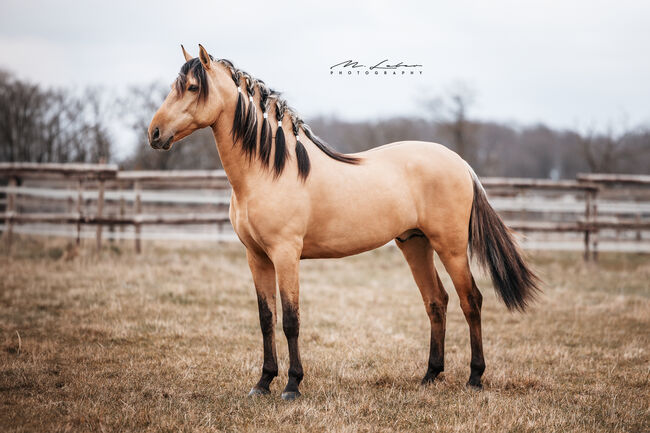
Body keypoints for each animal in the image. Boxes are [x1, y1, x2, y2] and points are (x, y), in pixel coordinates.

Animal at [147, 44, 536, 402]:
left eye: (193, 87)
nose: (154, 133)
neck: (268, 169)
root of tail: (461, 163)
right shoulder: (256, 257)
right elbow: (266, 319)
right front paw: (262, 383)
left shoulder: (286, 255)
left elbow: (291, 320)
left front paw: (291, 386)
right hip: (415, 243)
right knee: (436, 301)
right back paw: (429, 376)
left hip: (450, 247)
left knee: (471, 300)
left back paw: (475, 378)